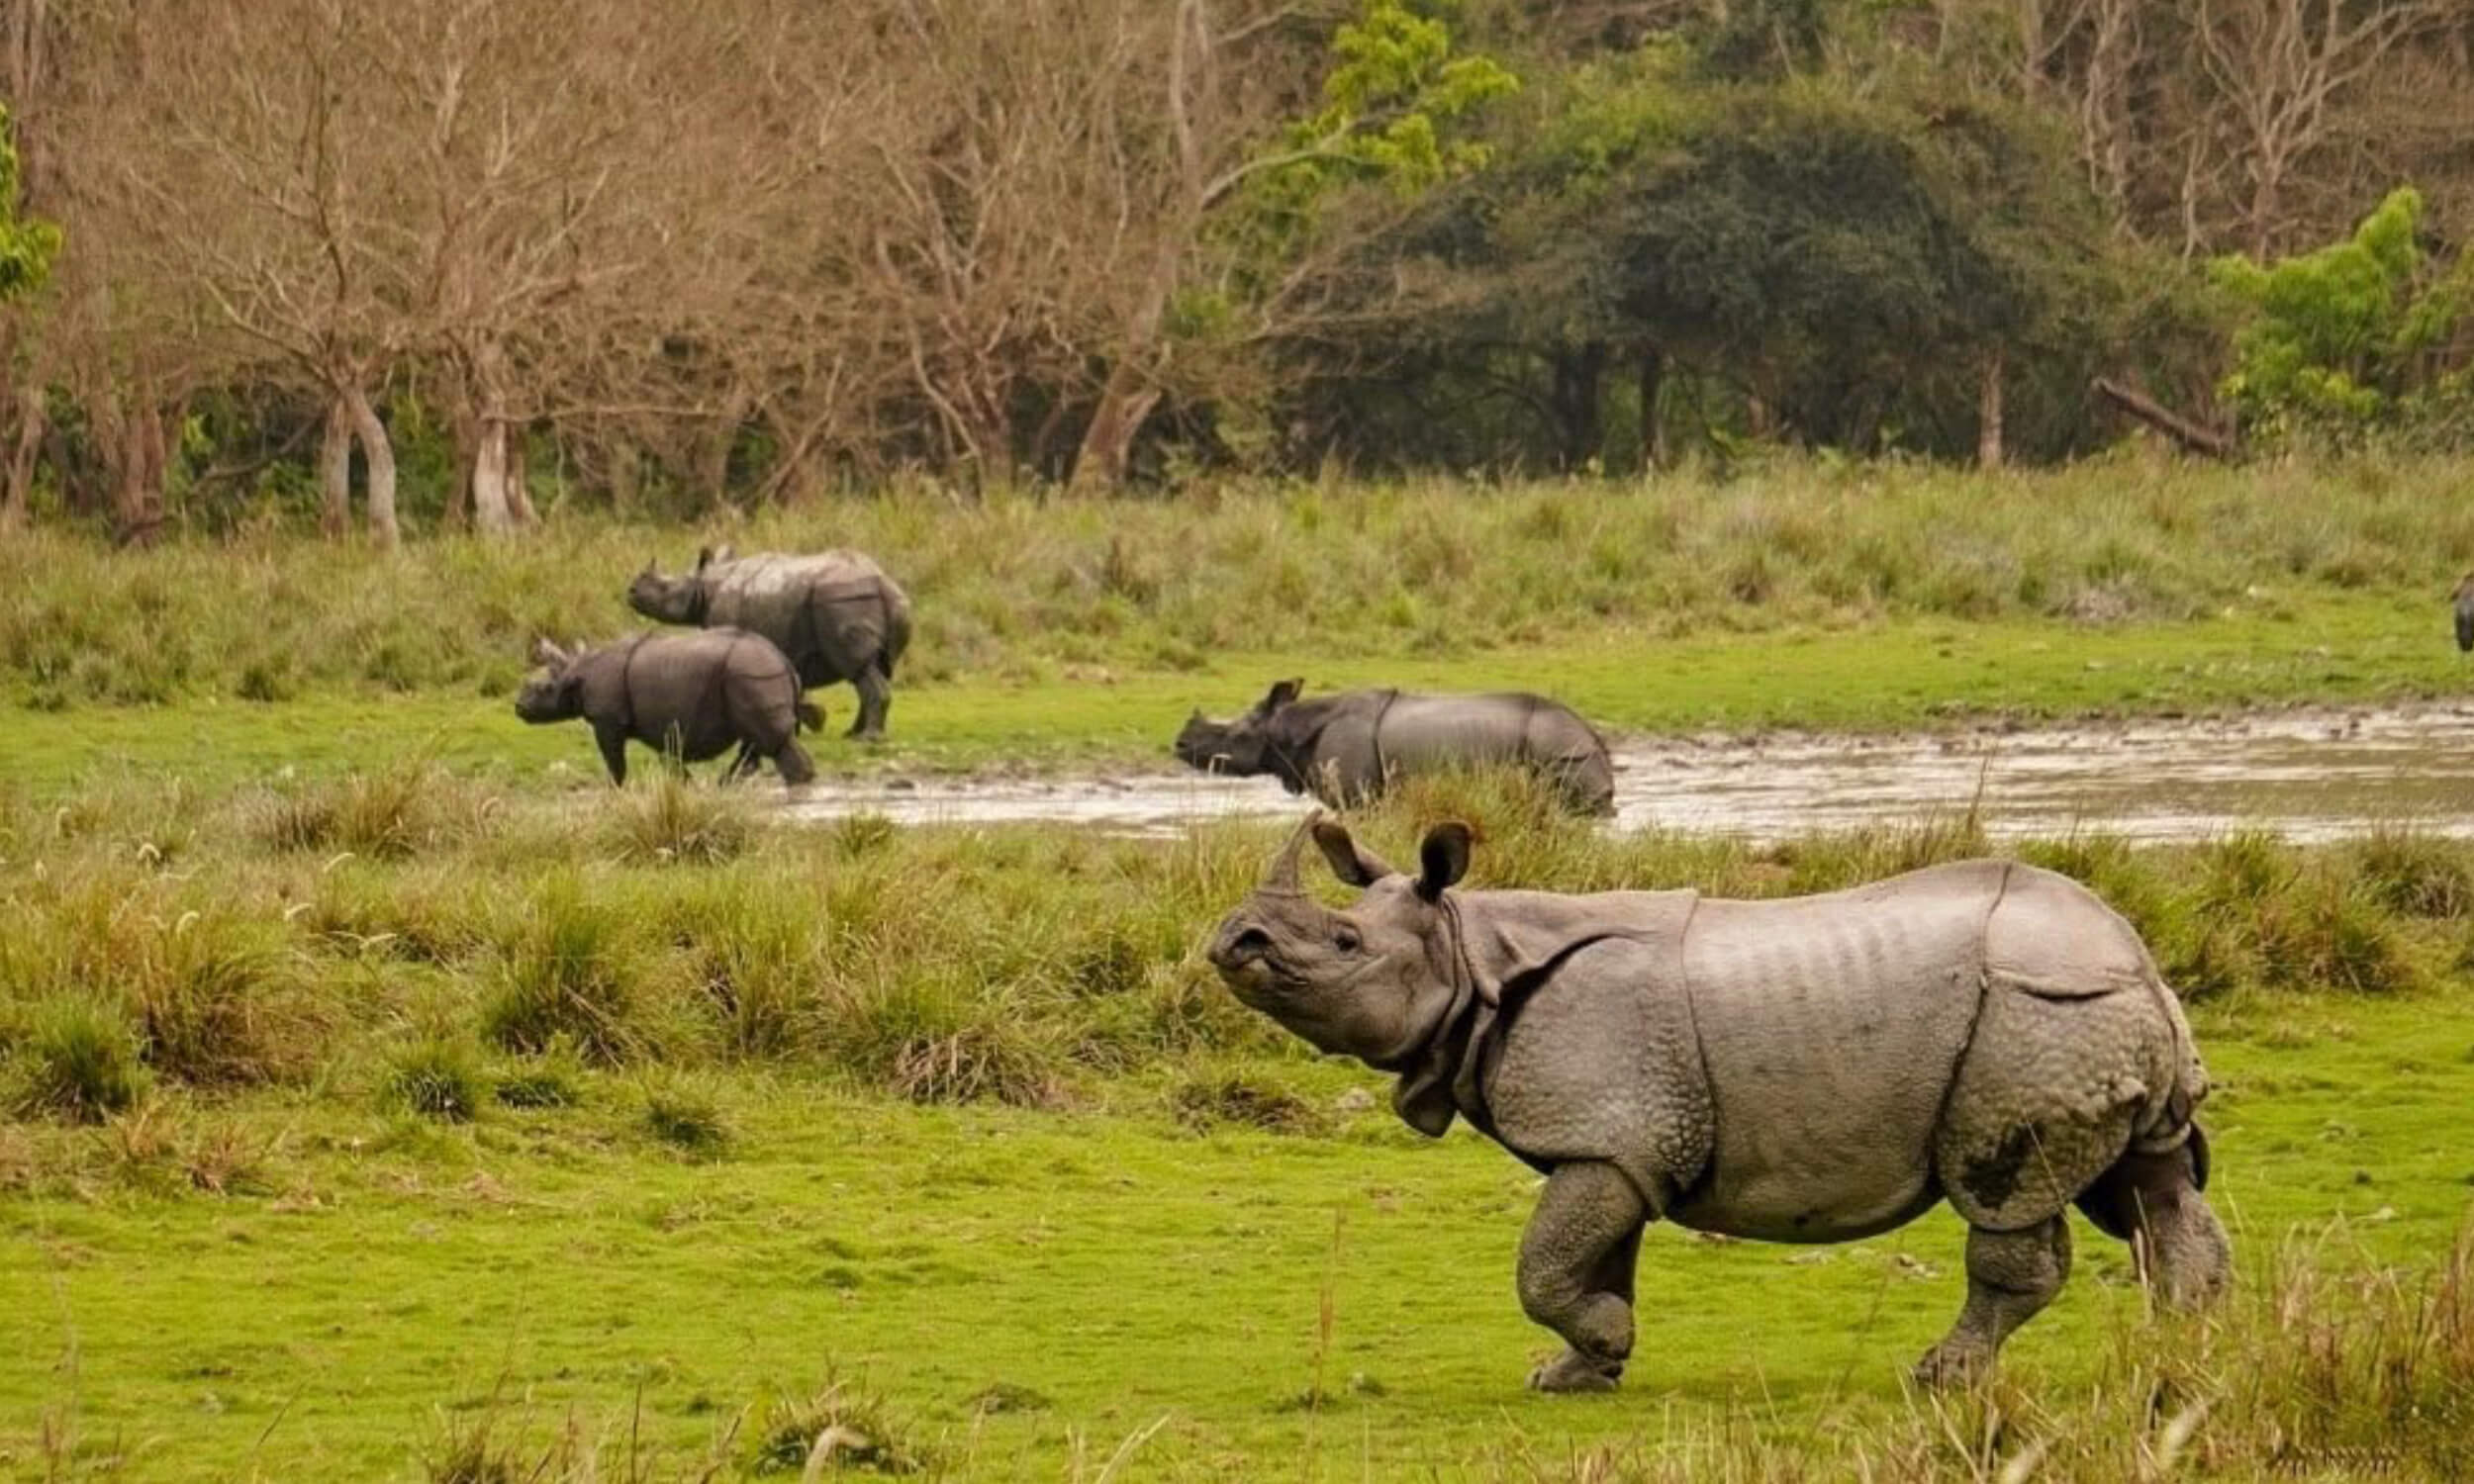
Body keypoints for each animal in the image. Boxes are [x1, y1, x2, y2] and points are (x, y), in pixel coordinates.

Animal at [514, 630, 819, 789]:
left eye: (544, 689)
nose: (519, 707)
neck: (577, 672)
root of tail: (783, 660)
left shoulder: (607, 719)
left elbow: (615, 761)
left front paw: (614, 789)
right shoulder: (658, 723)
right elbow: (670, 759)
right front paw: (687, 786)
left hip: (752, 674)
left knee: (771, 741)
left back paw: (797, 785)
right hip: (751, 676)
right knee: (754, 740)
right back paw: (726, 784)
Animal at [627, 545, 913, 740]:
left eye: (664, 587)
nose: (631, 591)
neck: (705, 584)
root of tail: (882, 582)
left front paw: (809, 720)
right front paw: (809, 720)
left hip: (843, 601)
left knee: (858, 668)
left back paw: (868, 739)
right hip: (884, 602)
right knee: (873, 669)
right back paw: (853, 734)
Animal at [1174, 681, 1615, 815]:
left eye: (1233, 736)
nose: (1179, 744)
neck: (1287, 728)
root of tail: (1593, 736)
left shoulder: (1357, 797)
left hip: (1563, 752)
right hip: (1566, 749)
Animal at [1207, 816, 2230, 1393]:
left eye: (1343, 945)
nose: (1233, 940)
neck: (1471, 954)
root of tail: (2140, 962)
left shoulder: (1609, 1134)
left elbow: (1543, 1267)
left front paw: (1594, 1350)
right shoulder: (1616, 1140)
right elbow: (1593, 1259)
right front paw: (1580, 1372)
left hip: (2034, 1016)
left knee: (2009, 1202)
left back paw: (1942, 1379)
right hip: (2085, 1019)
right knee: (2150, 1188)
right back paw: (2179, 1354)